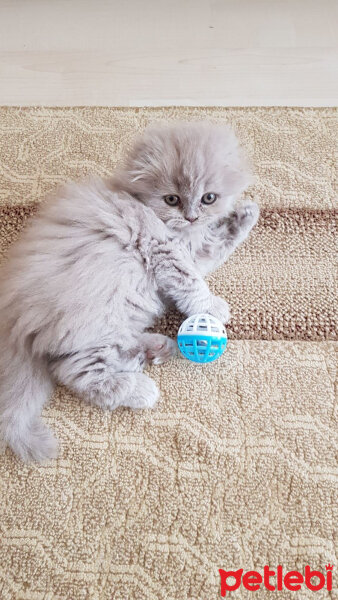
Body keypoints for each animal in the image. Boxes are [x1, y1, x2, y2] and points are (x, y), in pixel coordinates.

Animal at [0, 120, 258, 460]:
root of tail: (14, 322)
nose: (191, 216)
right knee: (76, 373)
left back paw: (154, 349)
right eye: (172, 200)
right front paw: (211, 307)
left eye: (208, 198)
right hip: (94, 319)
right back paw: (141, 389)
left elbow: (220, 244)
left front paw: (246, 214)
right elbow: (191, 281)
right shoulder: (165, 250)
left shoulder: (194, 250)